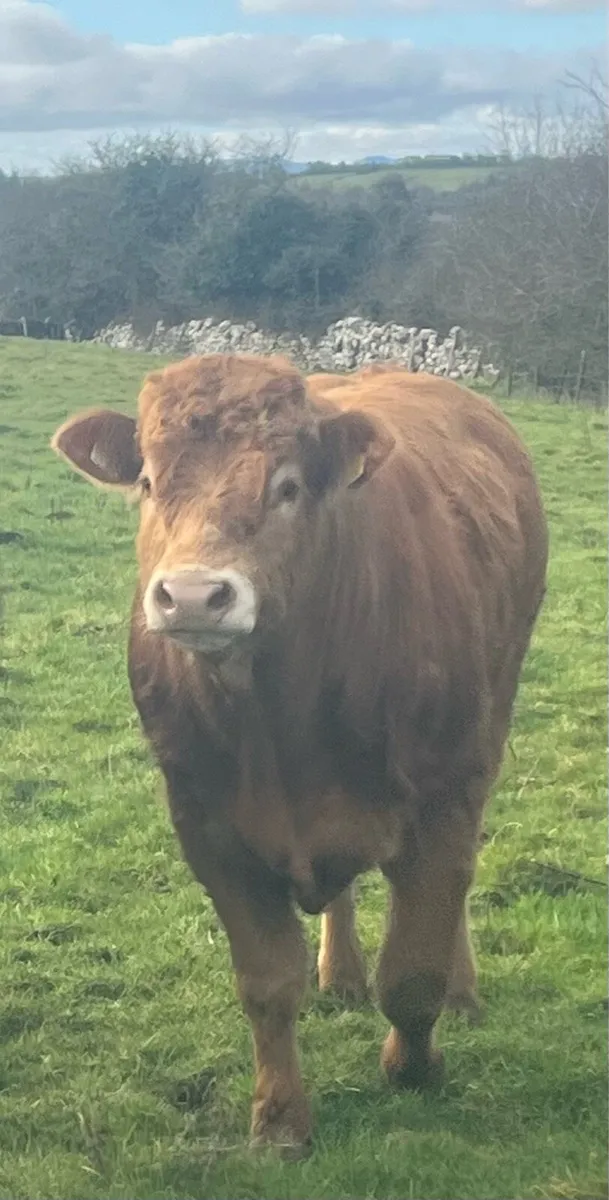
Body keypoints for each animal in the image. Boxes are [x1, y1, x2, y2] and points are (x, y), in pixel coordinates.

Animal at [51, 354, 548, 1155]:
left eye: (286, 487)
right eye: (150, 483)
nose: (194, 595)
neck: (282, 725)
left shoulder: (442, 798)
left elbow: (414, 969)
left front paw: (415, 1067)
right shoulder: (209, 829)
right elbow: (266, 985)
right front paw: (280, 1121)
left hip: (492, 720)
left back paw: (463, 989)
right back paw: (339, 973)